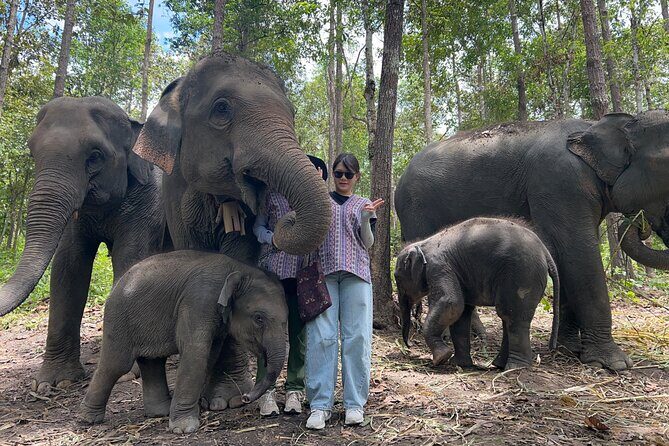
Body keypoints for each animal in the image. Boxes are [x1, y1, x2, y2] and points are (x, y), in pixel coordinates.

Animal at [0, 97, 167, 391]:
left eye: (95, 156)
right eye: (32, 153)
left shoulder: (150, 203)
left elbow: (129, 260)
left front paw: (125, 373)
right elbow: (68, 267)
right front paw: (55, 381)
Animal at [78, 250, 287, 434]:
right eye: (259, 318)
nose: (245, 398)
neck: (240, 269)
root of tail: (118, 282)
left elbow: (210, 353)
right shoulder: (199, 301)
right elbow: (196, 351)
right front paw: (184, 428)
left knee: (152, 361)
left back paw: (159, 413)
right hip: (118, 318)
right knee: (116, 364)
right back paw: (87, 419)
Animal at [132, 53, 331, 410]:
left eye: (293, 113)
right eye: (222, 109)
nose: (284, 220)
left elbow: (240, 254)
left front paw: (226, 398)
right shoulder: (174, 190)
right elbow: (195, 252)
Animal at [394, 217, 559, 370]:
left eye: (397, 277)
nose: (409, 345)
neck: (424, 244)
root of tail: (545, 252)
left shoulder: (438, 267)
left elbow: (451, 303)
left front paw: (441, 358)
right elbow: (462, 314)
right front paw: (458, 363)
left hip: (523, 275)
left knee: (513, 316)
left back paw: (515, 368)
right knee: (508, 317)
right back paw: (499, 365)